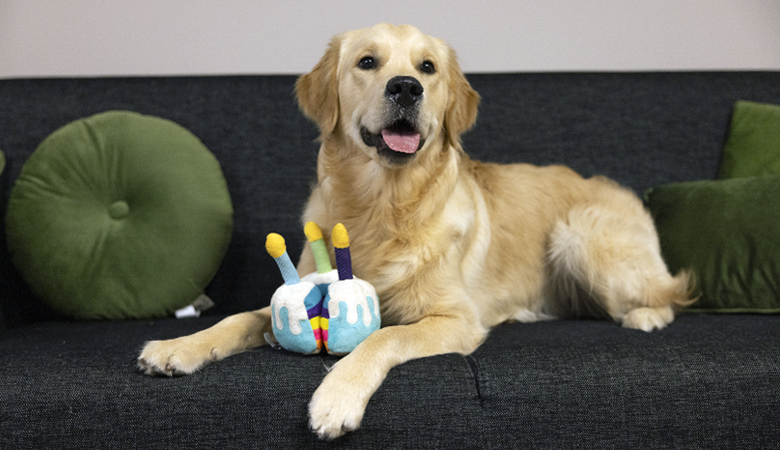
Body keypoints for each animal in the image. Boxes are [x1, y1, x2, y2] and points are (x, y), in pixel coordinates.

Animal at [137, 22, 692, 438]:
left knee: (667, 295)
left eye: (427, 67)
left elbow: (383, 338)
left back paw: (645, 317)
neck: (383, 208)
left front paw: (336, 397)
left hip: (579, 236)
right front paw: (177, 347)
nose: (406, 87)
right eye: (367, 62)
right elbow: (238, 318)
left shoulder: (456, 319)